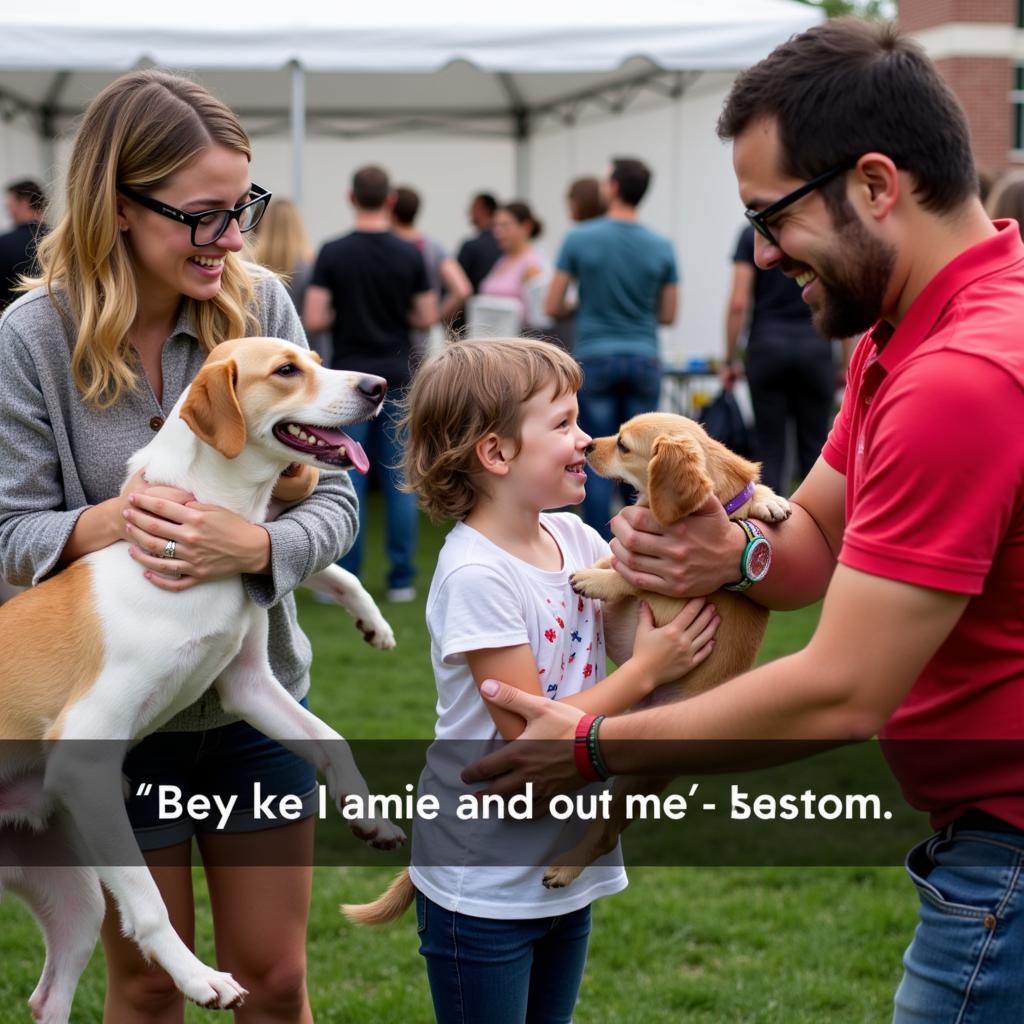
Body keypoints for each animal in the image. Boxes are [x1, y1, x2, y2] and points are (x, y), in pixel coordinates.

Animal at [544, 409, 790, 888]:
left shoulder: (668, 588)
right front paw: (772, 502)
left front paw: (595, 579)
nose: (587, 445)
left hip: (634, 773)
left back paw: (564, 867)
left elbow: (627, 573)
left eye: (623, 445)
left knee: (604, 832)